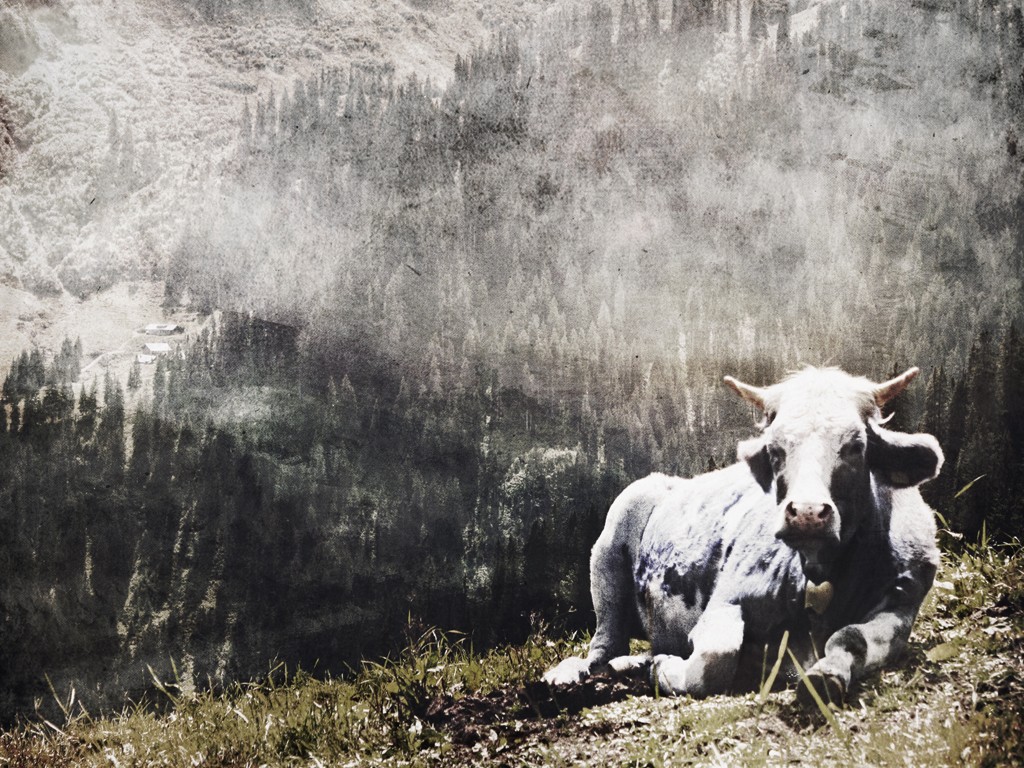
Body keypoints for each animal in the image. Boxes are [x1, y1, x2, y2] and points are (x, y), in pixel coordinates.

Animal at [544, 366, 942, 704]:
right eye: (776, 449)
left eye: (855, 446)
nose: (807, 513)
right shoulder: (727, 599)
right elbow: (714, 659)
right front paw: (665, 669)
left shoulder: (901, 607)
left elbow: (852, 638)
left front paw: (827, 675)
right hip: (608, 552)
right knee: (603, 646)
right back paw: (573, 673)